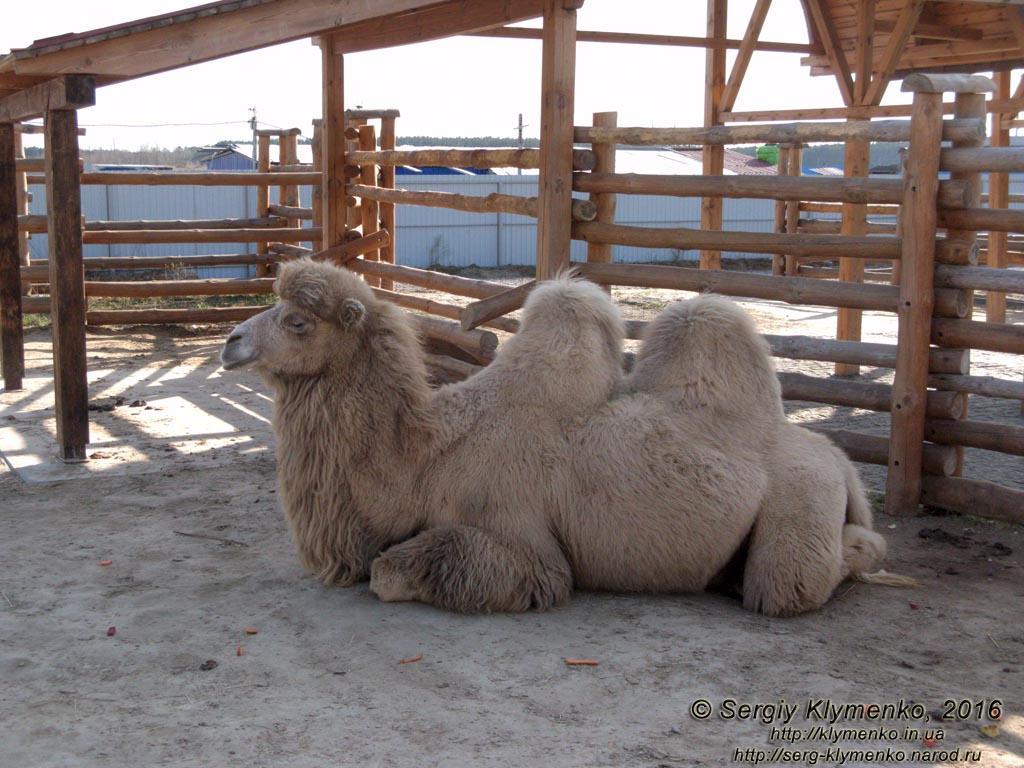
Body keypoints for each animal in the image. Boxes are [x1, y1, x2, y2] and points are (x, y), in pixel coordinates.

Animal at [218, 260, 888, 618]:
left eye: (297, 321)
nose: (231, 342)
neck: (424, 457)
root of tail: (840, 461)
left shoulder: (522, 546)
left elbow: (389, 573)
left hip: (801, 494)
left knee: (790, 582)